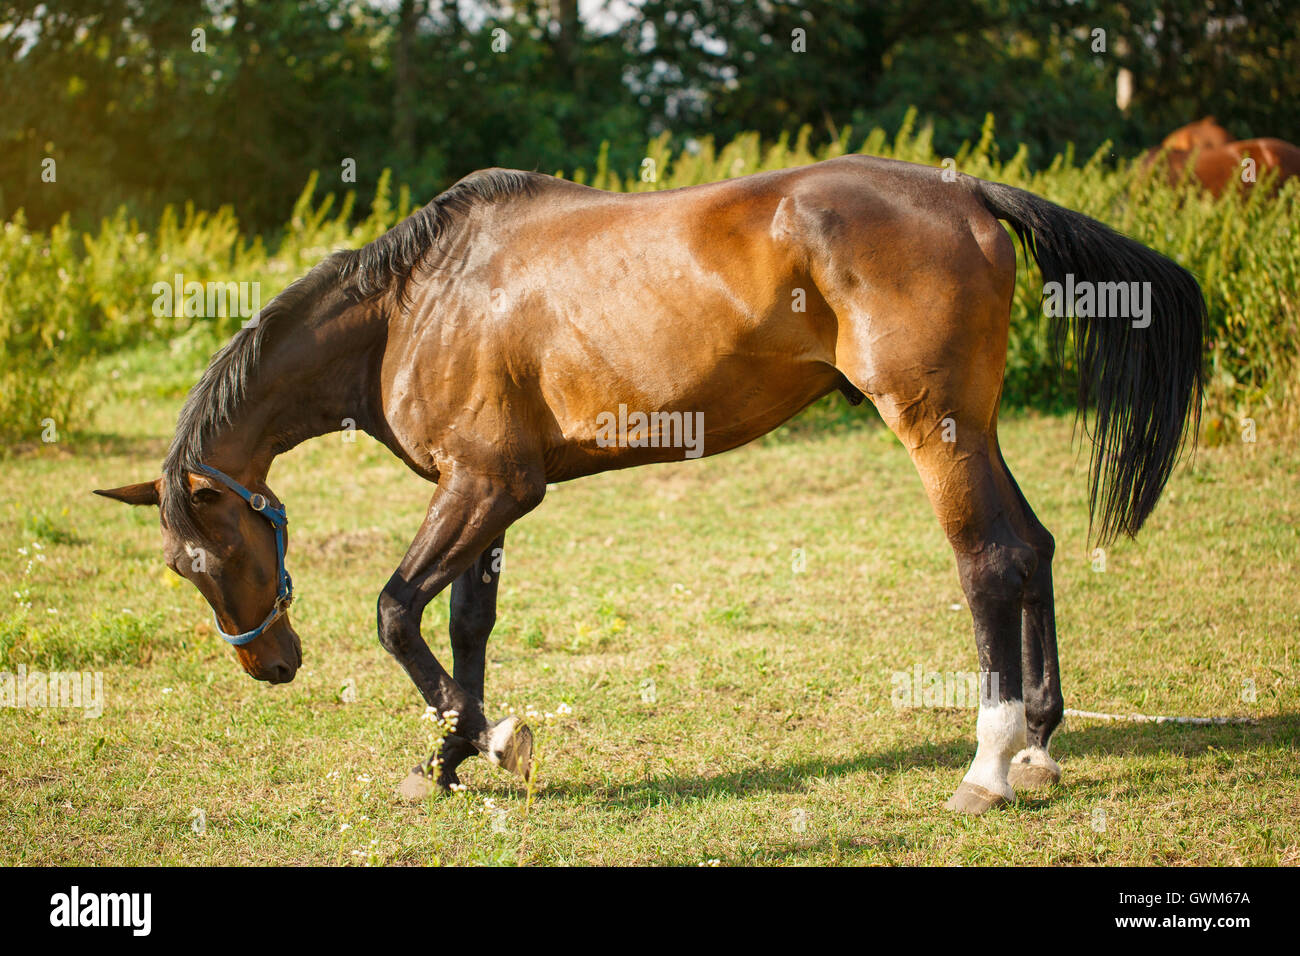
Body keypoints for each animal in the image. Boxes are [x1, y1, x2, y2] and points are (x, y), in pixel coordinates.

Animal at [96, 154, 1205, 815]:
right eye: (181, 568)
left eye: (216, 552)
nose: (268, 664)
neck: (411, 305)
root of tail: (968, 194)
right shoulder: (487, 496)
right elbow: (464, 626)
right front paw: (449, 758)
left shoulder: (487, 486)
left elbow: (397, 612)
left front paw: (494, 741)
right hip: (973, 428)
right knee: (1036, 549)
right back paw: (1041, 744)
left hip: (934, 428)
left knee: (992, 561)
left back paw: (987, 762)